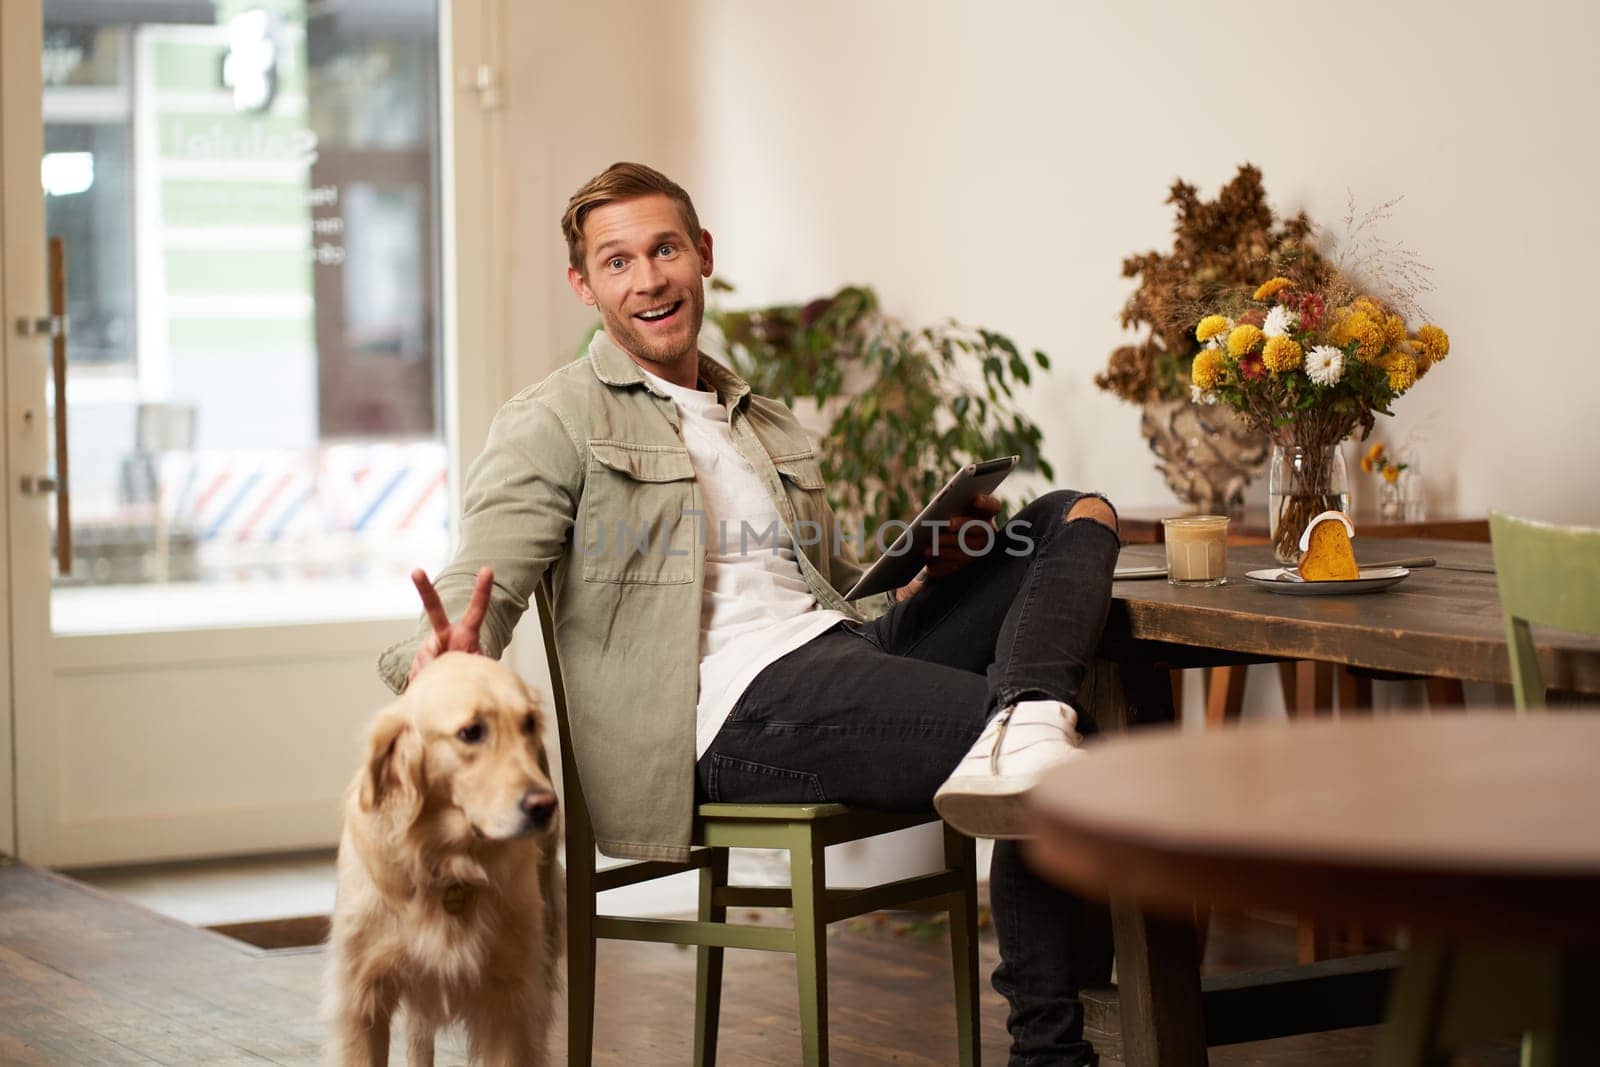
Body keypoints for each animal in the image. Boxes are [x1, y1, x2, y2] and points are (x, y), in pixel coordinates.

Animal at [321, 652, 566, 1067]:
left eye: (529, 724)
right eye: (471, 732)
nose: (545, 806)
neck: (447, 863)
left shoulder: (512, 997)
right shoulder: (364, 996)